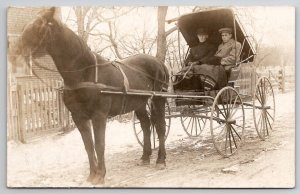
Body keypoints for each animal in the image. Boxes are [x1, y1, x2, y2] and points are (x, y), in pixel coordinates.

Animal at [15, 6, 169, 184]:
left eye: (38, 26)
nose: (15, 50)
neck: (83, 74)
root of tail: (159, 63)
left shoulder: (99, 116)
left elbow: (99, 145)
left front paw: (101, 175)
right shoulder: (78, 117)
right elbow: (88, 146)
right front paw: (92, 175)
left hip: (158, 99)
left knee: (160, 126)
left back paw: (161, 160)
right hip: (139, 103)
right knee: (145, 125)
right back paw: (145, 157)